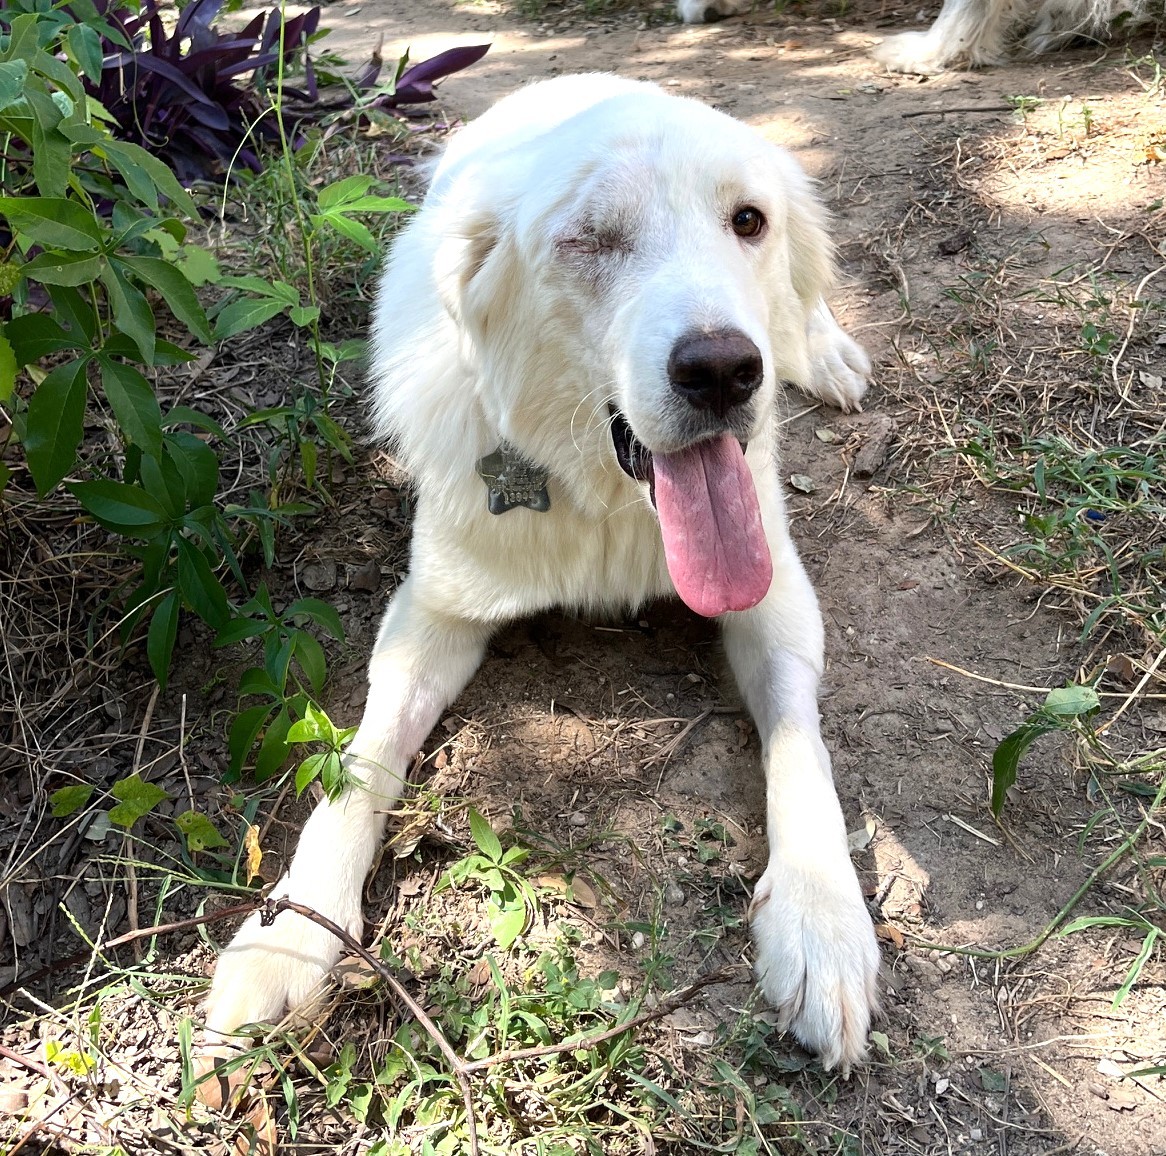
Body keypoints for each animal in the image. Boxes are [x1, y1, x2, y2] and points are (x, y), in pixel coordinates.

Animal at [209, 74, 876, 1077]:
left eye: (747, 222)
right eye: (589, 240)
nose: (725, 370)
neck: (602, 499)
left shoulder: (778, 600)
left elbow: (802, 748)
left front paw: (821, 920)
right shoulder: (430, 619)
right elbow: (360, 766)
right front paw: (289, 937)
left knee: (811, 297)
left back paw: (826, 351)